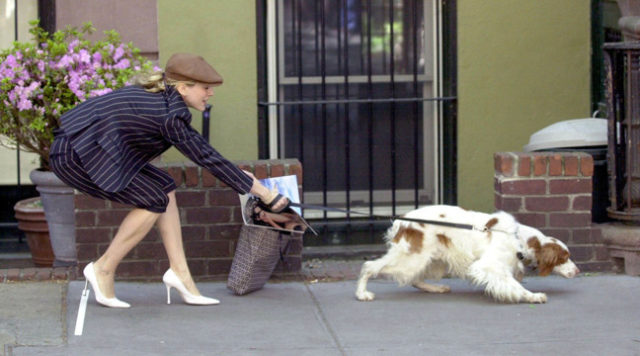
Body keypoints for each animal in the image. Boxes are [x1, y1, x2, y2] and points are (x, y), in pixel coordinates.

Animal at [356, 206, 580, 304]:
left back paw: (436, 288)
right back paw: (362, 294)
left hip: (432, 260)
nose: (578, 271)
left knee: (415, 280)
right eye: (564, 257)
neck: (520, 239)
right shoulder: (490, 265)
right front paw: (533, 296)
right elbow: (515, 286)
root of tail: (402, 220)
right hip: (412, 259)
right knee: (369, 267)